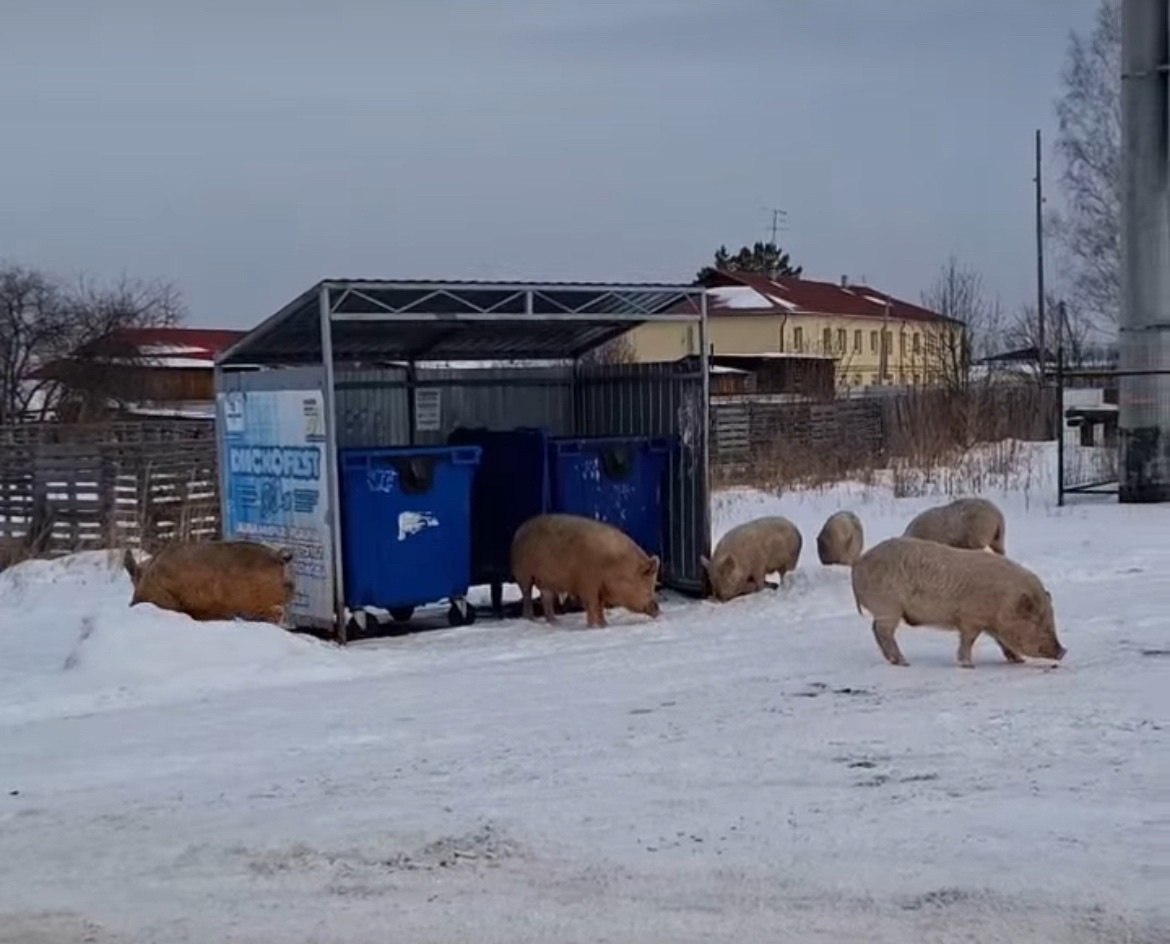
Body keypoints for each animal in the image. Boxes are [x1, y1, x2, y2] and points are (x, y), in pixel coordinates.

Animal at [510, 512, 664, 631]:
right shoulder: (588, 584)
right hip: (523, 574)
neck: (614, 565)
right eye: (646, 587)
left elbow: (600, 606)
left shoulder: (601, 588)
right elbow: (592, 605)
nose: (659, 611)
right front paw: (593, 628)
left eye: (653, 586)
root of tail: (519, 530)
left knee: (546, 598)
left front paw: (604, 626)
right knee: (527, 595)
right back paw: (531, 619)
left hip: (546, 582)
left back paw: (555, 622)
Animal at [847, 538, 1067, 673]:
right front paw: (969, 666)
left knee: (876, 630)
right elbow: (968, 641)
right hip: (888, 607)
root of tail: (859, 563)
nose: (1063, 651)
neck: (1004, 602)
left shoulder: (989, 624)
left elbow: (1002, 642)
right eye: (1038, 622)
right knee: (882, 632)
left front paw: (1019, 660)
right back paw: (904, 662)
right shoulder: (971, 618)